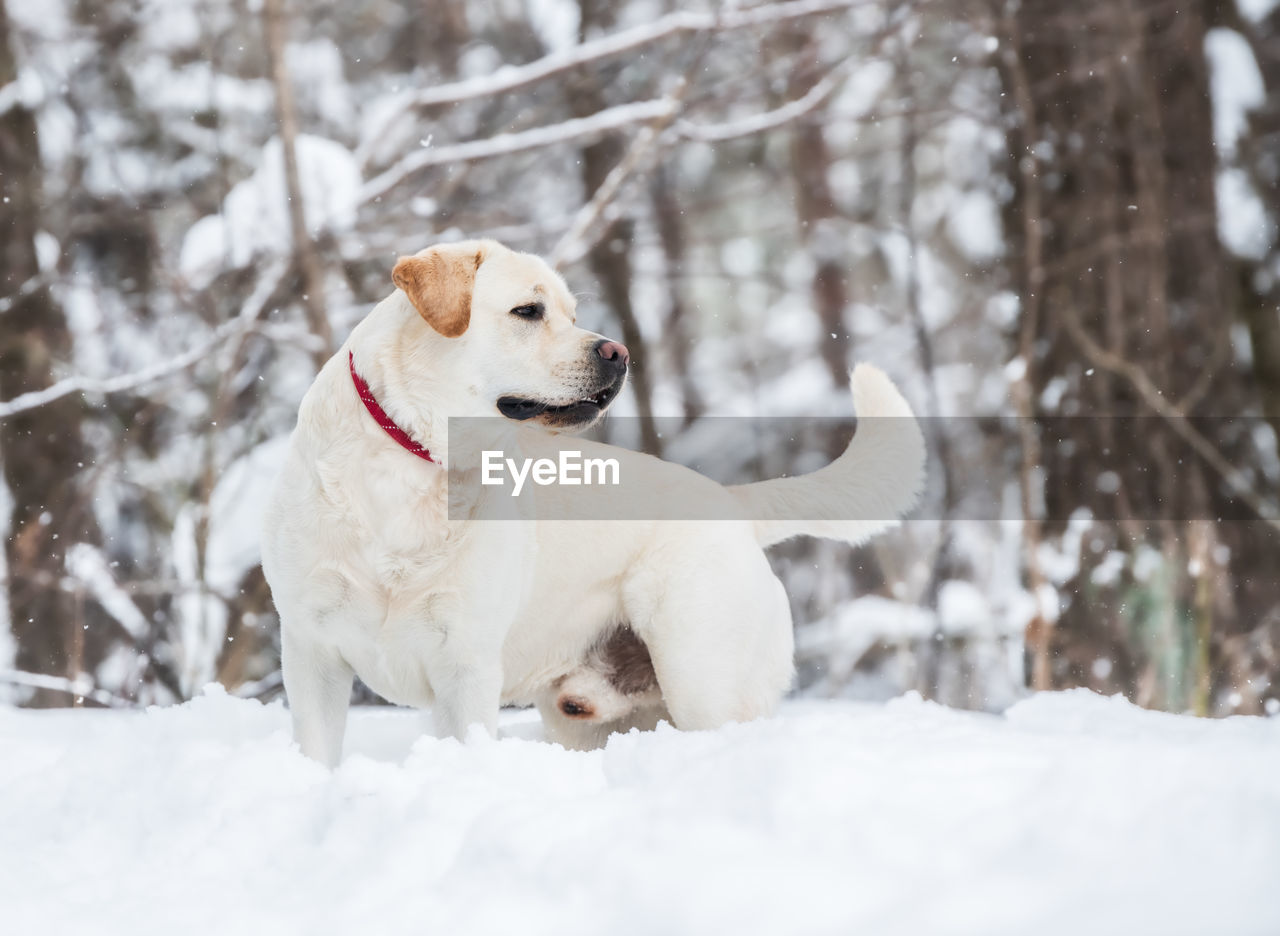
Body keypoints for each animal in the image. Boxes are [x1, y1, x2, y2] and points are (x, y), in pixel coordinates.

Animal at [259, 238, 926, 763]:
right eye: (528, 311)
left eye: (572, 313)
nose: (618, 352)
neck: (413, 465)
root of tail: (731, 502)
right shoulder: (312, 654)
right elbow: (316, 752)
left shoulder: (465, 666)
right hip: (589, 718)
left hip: (704, 680)